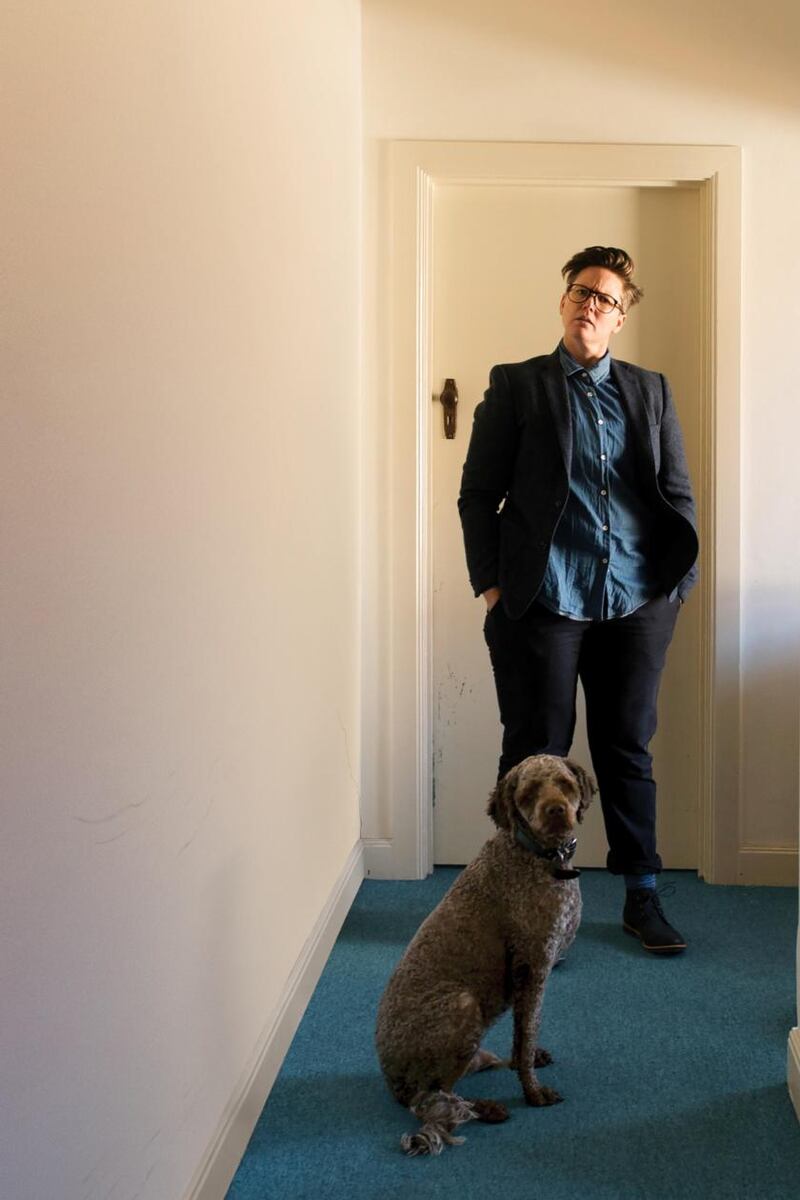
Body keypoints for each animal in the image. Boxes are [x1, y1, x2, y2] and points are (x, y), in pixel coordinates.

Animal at [376, 753, 594, 1156]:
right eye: (529, 792)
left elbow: (524, 1035)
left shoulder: (529, 975)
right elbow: (527, 1033)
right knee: (431, 1100)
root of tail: (391, 1081)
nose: (556, 810)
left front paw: (529, 1061)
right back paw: (484, 1109)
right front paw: (533, 1093)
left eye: (565, 784)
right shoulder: (533, 966)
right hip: (463, 1006)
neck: (537, 856)